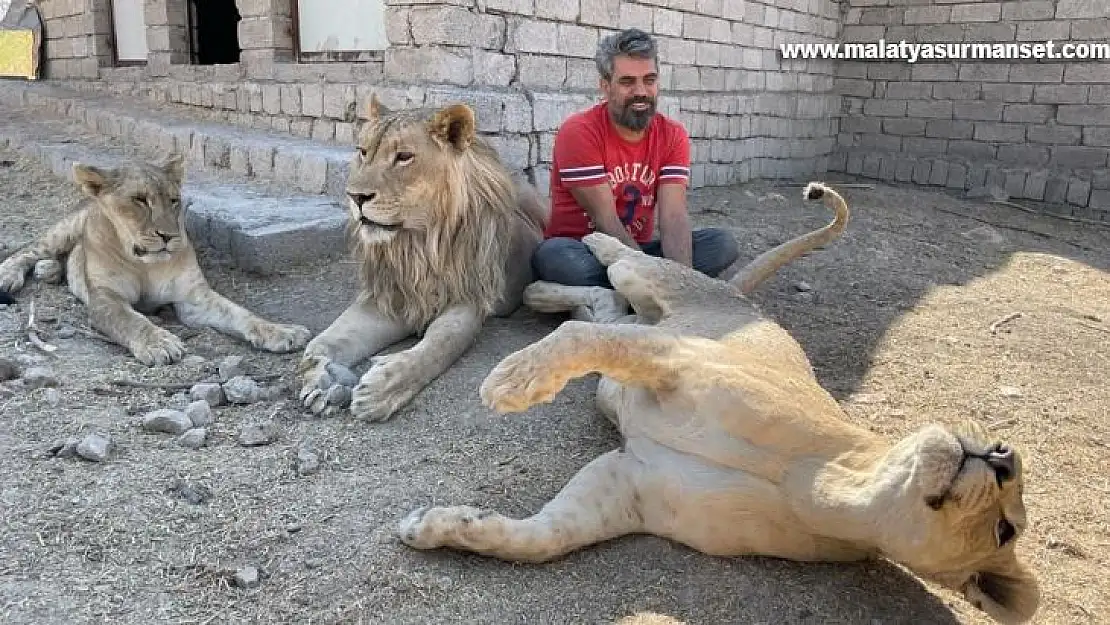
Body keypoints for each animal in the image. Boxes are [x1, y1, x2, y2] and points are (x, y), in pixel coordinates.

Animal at [0, 153, 313, 364]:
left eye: (173, 200)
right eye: (140, 200)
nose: (168, 236)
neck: (144, 265)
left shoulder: (193, 298)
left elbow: (239, 313)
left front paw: (281, 331)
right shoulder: (105, 299)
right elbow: (131, 320)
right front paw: (160, 343)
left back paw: (50, 270)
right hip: (66, 228)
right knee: (30, 249)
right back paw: (10, 275)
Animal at [297, 96, 548, 419]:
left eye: (404, 157)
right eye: (363, 152)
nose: (355, 197)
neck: (417, 245)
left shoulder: (468, 298)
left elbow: (440, 344)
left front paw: (383, 388)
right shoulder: (389, 297)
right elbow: (324, 341)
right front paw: (322, 379)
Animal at [401, 183, 1038, 621]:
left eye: (1005, 530)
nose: (1003, 455)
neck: (827, 486)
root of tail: (742, 299)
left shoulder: (626, 487)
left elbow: (538, 541)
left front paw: (437, 527)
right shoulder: (680, 359)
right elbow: (580, 340)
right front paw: (510, 382)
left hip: (641, 333)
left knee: (605, 305)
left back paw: (541, 293)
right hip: (663, 293)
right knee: (621, 266)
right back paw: (583, 248)